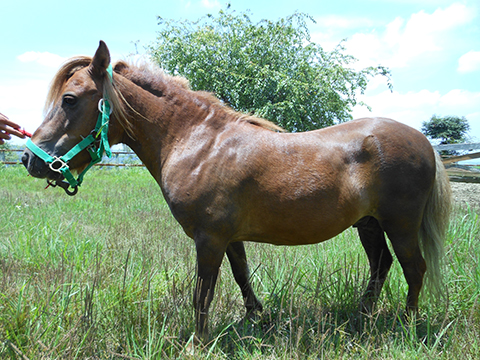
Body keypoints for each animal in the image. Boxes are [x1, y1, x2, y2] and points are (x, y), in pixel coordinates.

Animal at [21, 41, 450, 344]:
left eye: (69, 100)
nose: (29, 158)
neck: (198, 141)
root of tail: (424, 143)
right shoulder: (229, 237)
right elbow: (242, 275)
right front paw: (256, 317)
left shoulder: (209, 238)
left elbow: (202, 293)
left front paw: (197, 342)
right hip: (369, 224)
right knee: (381, 265)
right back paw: (363, 318)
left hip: (400, 225)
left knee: (414, 269)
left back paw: (407, 326)